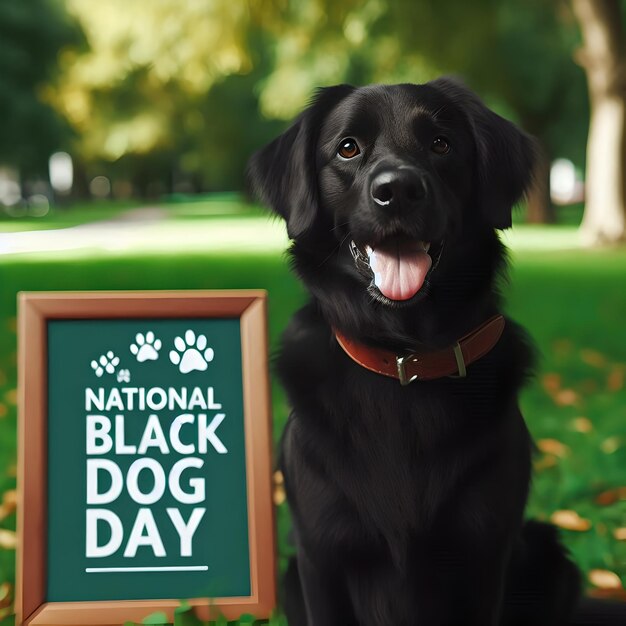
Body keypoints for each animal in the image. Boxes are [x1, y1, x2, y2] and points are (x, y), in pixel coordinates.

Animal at [246, 79, 584, 624]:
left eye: (441, 144)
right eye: (348, 148)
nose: (398, 190)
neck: (405, 359)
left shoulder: (485, 555)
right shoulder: (320, 558)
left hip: (548, 554)